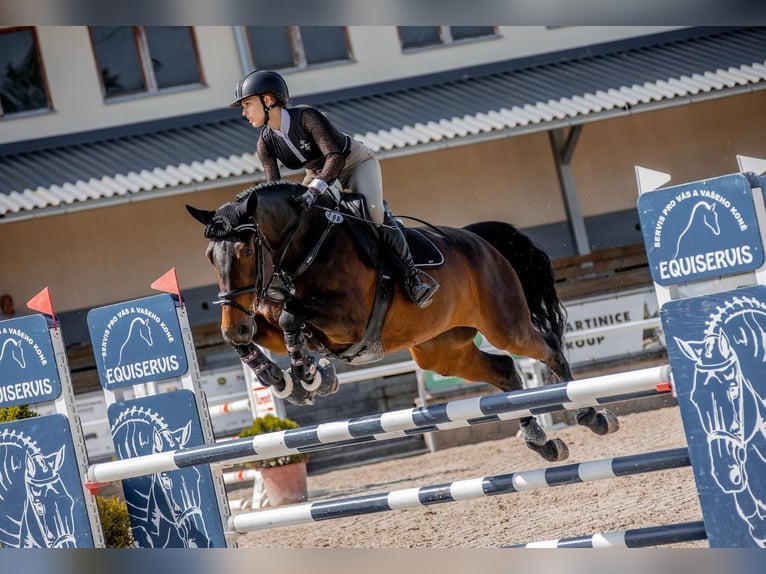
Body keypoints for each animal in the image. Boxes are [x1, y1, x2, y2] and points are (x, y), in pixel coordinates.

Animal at [186, 180, 619, 462]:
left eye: (244, 250)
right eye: (209, 256)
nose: (233, 322)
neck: (303, 249)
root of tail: (481, 242)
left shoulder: (349, 321)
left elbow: (295, 316)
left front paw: (309, 376)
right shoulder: (273, 321)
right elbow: (267, 333)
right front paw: (285, 380)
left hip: (505, 325)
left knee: (548, 349)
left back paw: (591, 415)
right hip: (441, 350)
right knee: (506, 371)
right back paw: (540, 441)